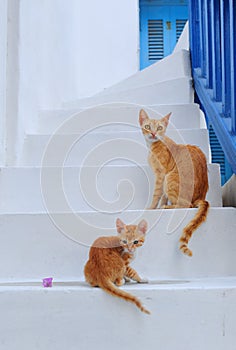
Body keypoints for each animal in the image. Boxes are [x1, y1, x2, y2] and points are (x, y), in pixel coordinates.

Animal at [139, 109, 209, 258]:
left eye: (159, 128)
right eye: (148, 126)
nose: (153, 134)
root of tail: (201, 197)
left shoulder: (161, 175)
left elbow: (156, 195)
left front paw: (152, 207)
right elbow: (163, 196)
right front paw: (160, 204)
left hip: (170, 178)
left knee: (186, 205)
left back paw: (167, 207)